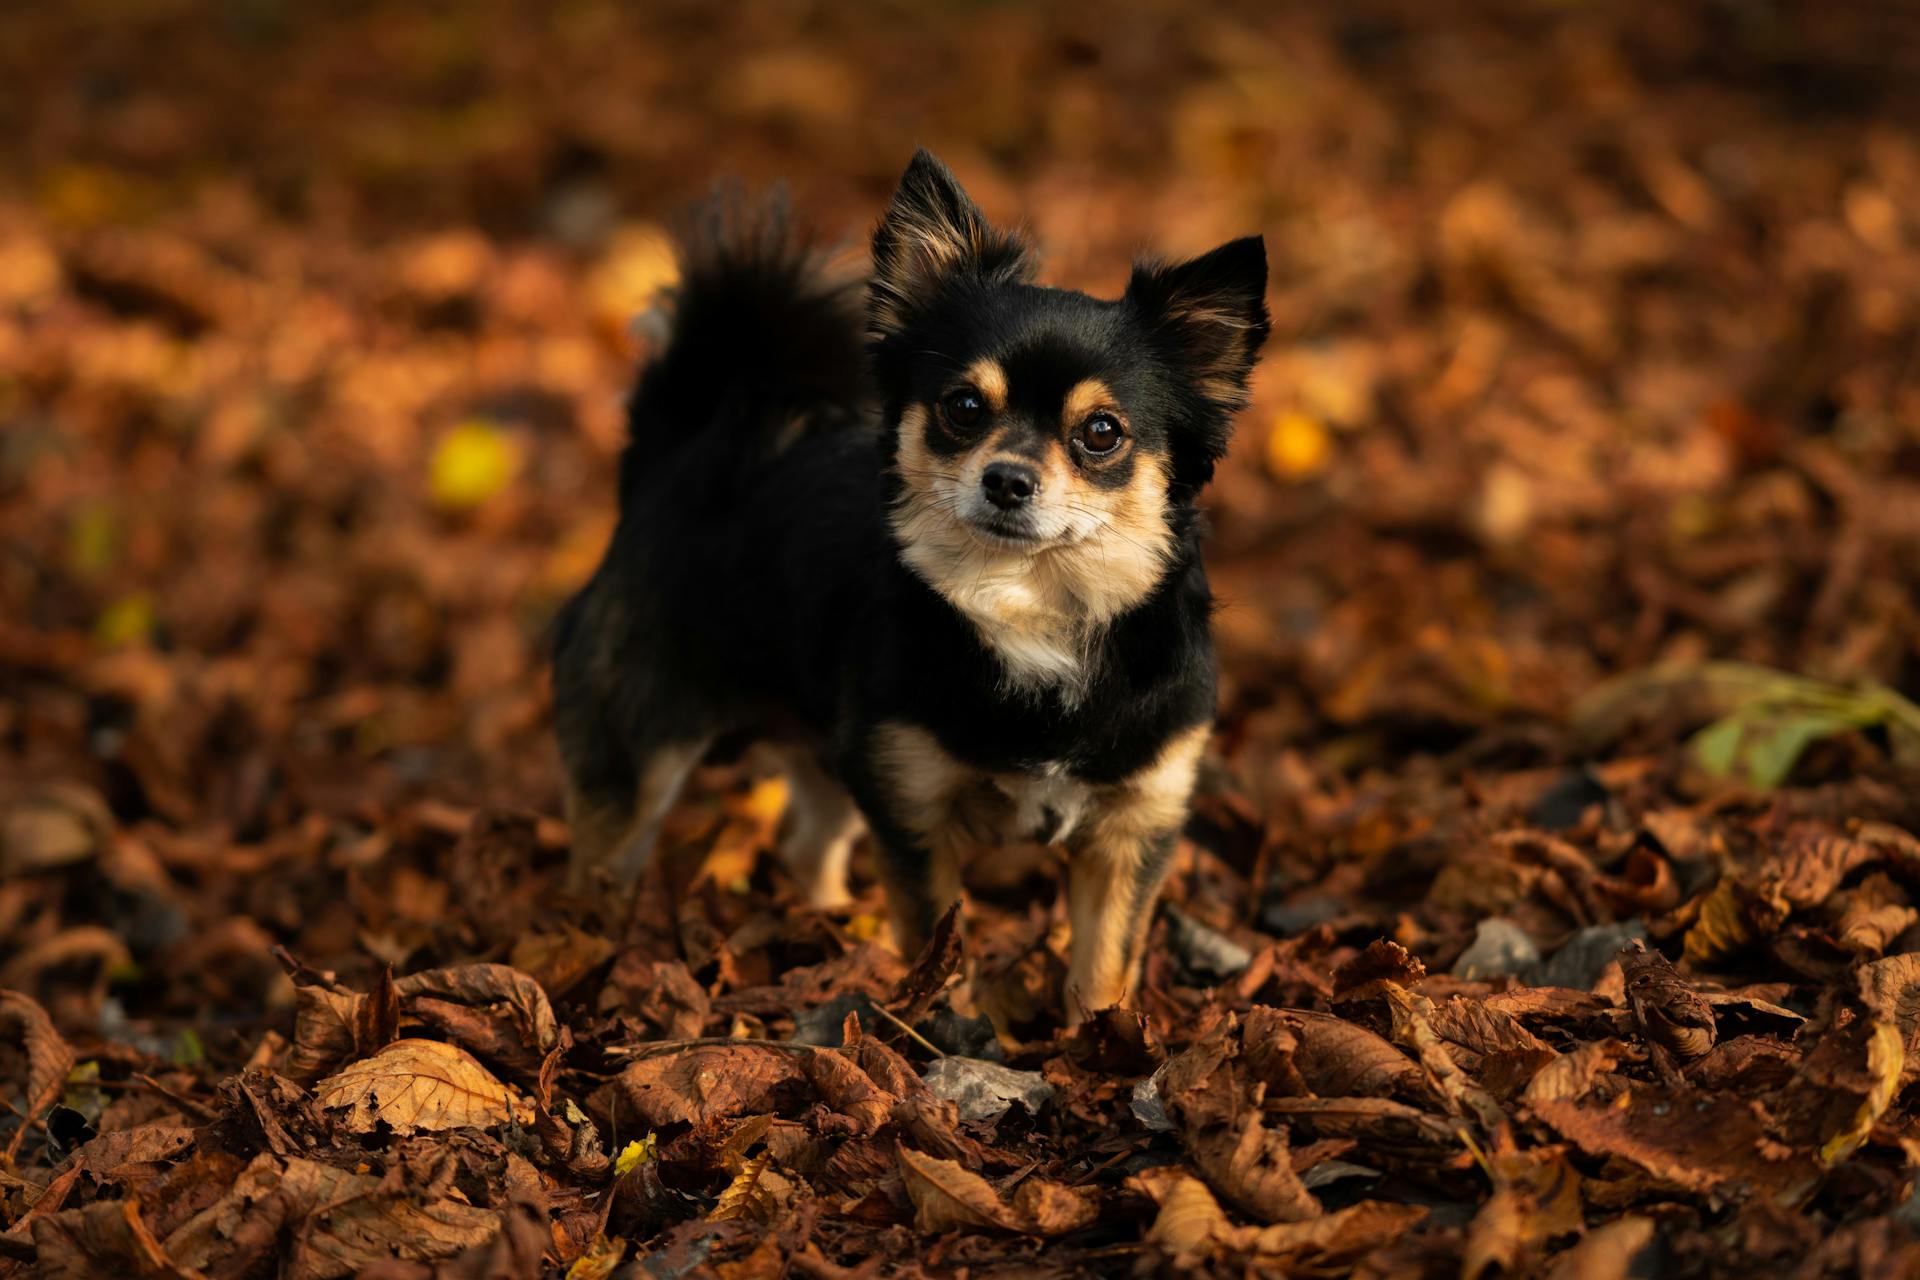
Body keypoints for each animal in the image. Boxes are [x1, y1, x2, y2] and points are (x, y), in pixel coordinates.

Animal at [556, 150, 1267, 1013]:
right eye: (963, 407)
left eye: (1102, 432)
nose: (1006, 479)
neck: (1033, 608)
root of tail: (675, 460)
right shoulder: (913, 810)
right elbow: (938, 950)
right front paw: (946, 1026)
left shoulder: (1133, 829)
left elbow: (1103, 966)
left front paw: (1099, 1038)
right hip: (637, 765)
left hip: (828, 756)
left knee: (806, 846)